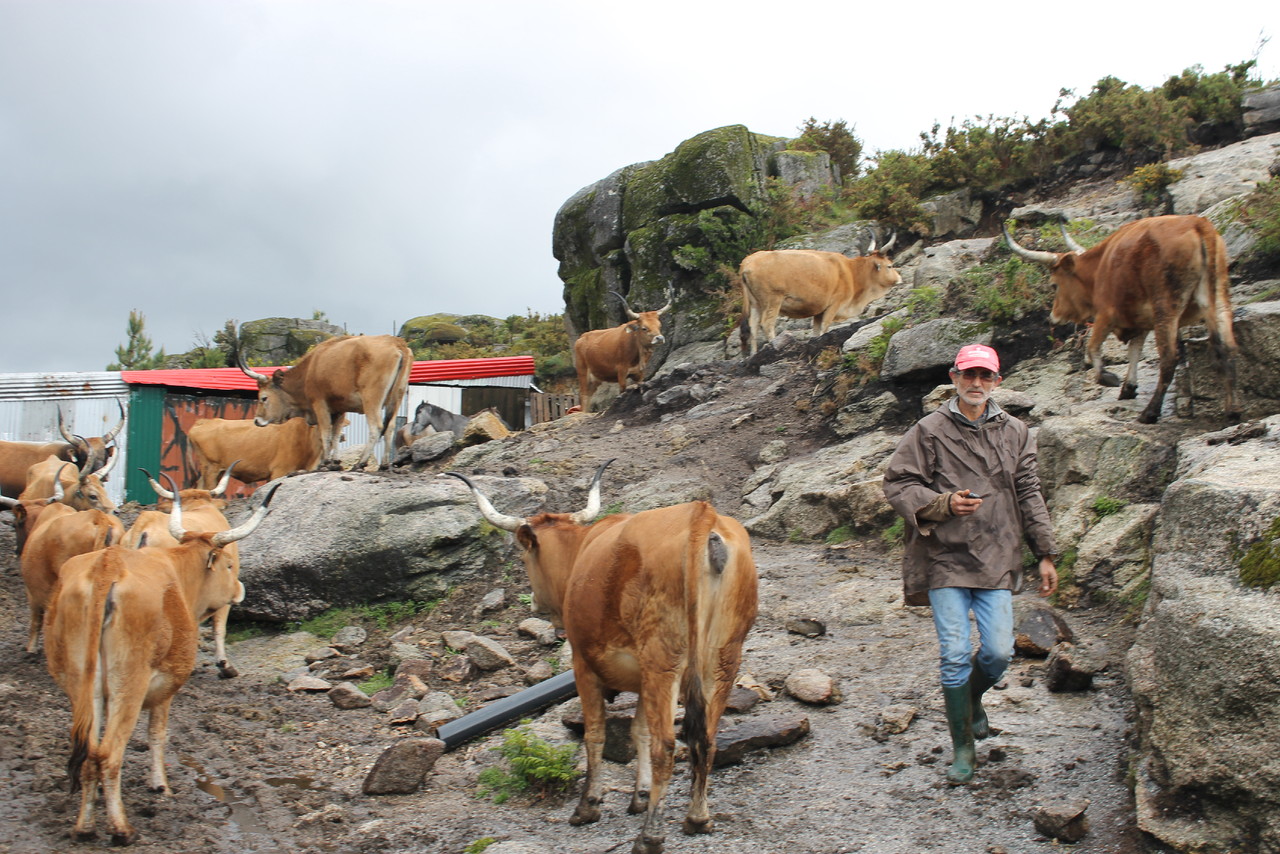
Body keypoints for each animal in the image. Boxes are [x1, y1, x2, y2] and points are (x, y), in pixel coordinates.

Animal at [45, 483, 275, 845]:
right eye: (228, 566)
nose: (240, 590)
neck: (176, 572)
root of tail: (108, 566)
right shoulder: (165, 688)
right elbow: (157, 734)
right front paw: (160, 785)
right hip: (130, 687)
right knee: (109, 754)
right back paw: (121, 830)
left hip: (82, 687)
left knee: (89, 754)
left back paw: (84, 827)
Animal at [238, 332, 412, 471]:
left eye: (263, 398)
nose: (256, 420)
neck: (311, 368)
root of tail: (397, 343)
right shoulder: (340, 409)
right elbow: (335, 434)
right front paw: (335, 462)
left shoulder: (320, 403)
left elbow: (325, 433)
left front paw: (325, 463)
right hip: (396, 398)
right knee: (390, 427)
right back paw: (384, 464)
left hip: (371, 400)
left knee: (376, 428)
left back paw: (360, 464)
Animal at [445, 460, 752, 854]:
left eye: (524, 555)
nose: (536, 602)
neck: (582, 552)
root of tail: (701, 515)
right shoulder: (640, 677)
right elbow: (638, 732)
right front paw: (639, 796)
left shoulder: (583, 664)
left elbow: (595, 733)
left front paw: (588, 805)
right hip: (723, 659)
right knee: (706, 739)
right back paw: (698, 818)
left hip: (663, 662)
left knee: (667, 746)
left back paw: (650, 836)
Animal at [737, 231, 906, 355]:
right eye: (890, 266)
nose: (899, 278)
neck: (851, 272)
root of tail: (748, 262)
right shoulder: (834, 304)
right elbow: (825, 327)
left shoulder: (819, 311)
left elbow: (816, 331)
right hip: (773, 300)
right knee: (767, 324)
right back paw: (774, 346)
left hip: (756, 304)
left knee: (753, 327)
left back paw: (753, 354)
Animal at [1003, 217, 1233, 425]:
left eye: (1054, 285)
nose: (1053, 316)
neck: (1100, 266)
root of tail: (1198, 223)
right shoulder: (1141, 320)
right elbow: (1135, 350)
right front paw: (1129, 387)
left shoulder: (1106, 314)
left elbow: (1093, 347)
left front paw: (1108, 378)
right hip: (1218, 299)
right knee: (1225, 347)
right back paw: (1232, 409)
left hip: (1166, 306)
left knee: (1169, 358)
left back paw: (1150, 413)